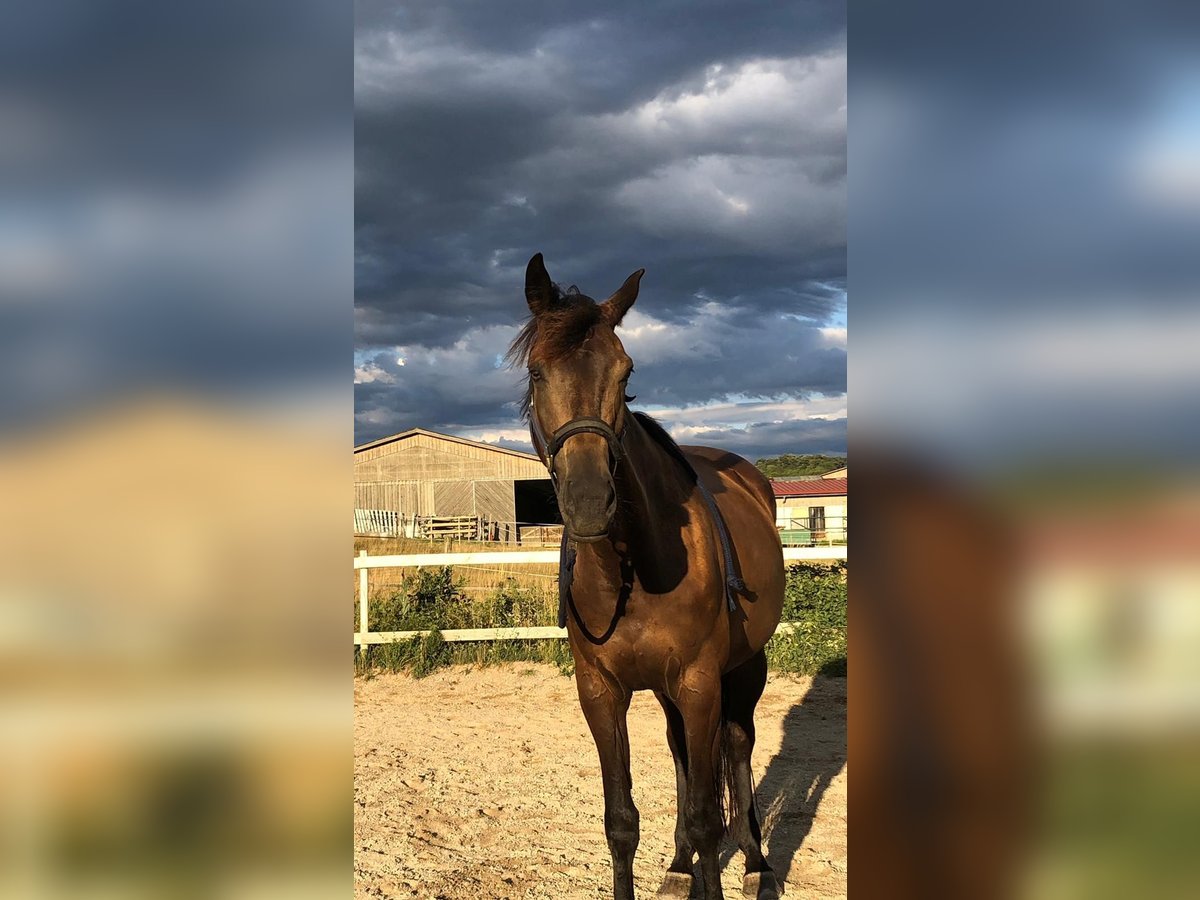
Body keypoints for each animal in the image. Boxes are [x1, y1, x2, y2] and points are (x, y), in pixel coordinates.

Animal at [506, 254, 787, 900]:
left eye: (625, 369)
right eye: (536, 372)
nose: (589, 501)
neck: (629, 574)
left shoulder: (700, 682)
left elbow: (710, 818)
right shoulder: (601, 691)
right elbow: (621, 820)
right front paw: (679, 860)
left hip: (743, 668)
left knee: (737, 747)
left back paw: (757, 865)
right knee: (682, 751)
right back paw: (681, 865)